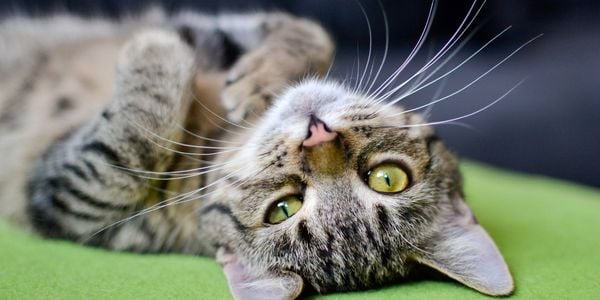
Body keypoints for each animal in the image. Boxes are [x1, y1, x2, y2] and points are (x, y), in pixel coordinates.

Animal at [1, 2, 516, 300]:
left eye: (281, 209)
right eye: (388, 177)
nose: (316, 135)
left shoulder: (69, 194)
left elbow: (129, 143)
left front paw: (155, 48)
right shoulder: (224, 32)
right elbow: (311, 30)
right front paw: (261, 78)